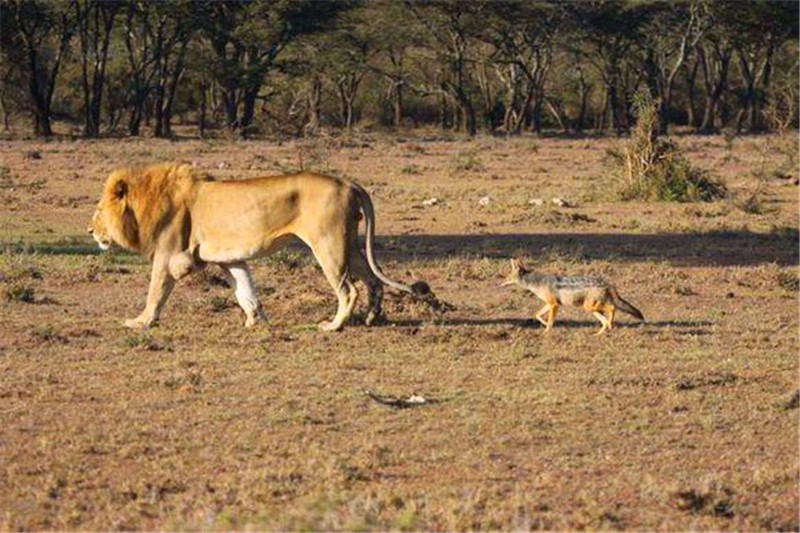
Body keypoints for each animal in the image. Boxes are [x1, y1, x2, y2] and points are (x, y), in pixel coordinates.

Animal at [88, 163, 428, 328]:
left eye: (99, 211)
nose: (90, 230)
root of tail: (348, 182)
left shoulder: (169, 255)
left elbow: (155, 292)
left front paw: (141, 322)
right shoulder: (229, 258)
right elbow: (245, 290)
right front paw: (255, 321)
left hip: (328, 244)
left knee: (349, 289)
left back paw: (334, 326)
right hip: (349, 244)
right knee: (373, 280)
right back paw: (372, 318)